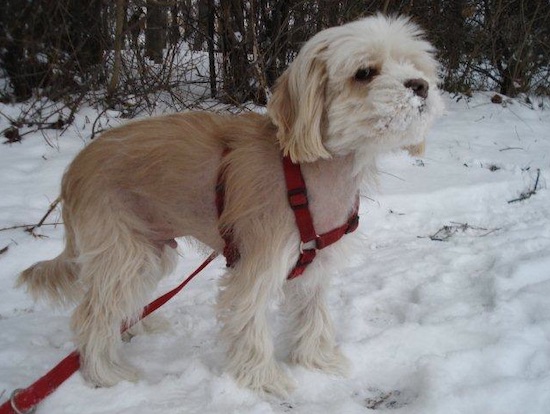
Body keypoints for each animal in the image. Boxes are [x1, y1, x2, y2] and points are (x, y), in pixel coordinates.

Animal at [18, 15, 444, 398]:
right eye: (364, 72)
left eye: (413, 65)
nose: (420, 86)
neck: (308, 171)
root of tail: (73, 170)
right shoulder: (257, 264)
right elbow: (250, 324)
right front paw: (265, 380)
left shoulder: (314, 266)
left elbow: (313, 316)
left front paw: (317, 361)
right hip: (123, 252)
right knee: (91, 315)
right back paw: (105, 373)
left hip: (149, 251)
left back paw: (134, 328)